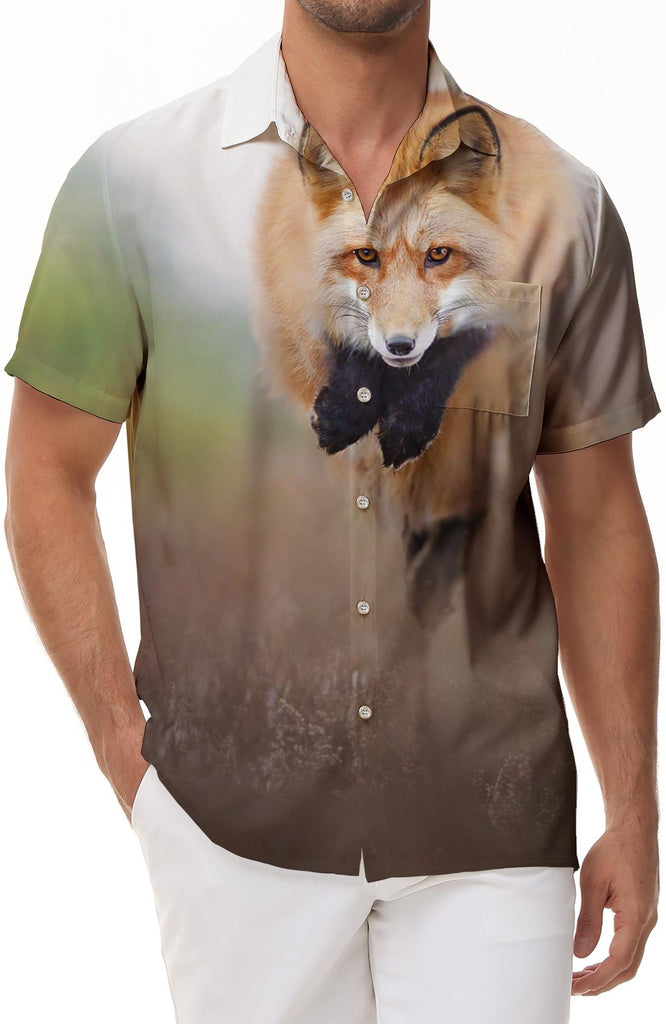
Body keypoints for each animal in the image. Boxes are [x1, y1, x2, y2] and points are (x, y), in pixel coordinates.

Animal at [247, 92, 550, 629]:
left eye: (440, 256)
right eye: (365, 257)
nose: (401, 346)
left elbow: (457, 346)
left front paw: (408, 423)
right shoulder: (292, 275)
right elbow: (343, 343)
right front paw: (347, 409)